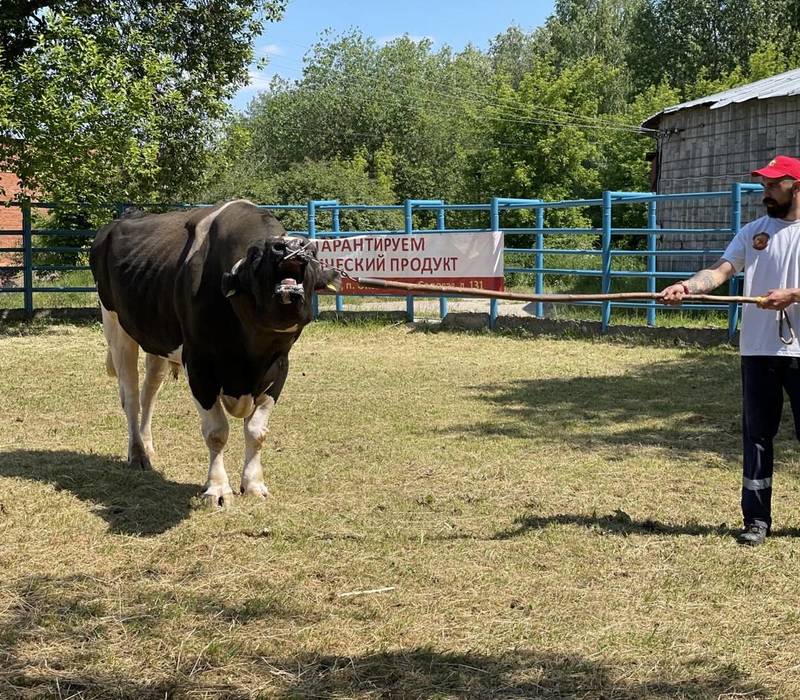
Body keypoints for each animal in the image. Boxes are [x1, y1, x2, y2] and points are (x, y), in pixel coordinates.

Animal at [90, 200, 340, 506]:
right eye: (255, 254)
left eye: (311, 251)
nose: (289, 246)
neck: (250, 355)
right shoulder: (199, 367)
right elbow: (216, 432)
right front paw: (218, 488)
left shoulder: (279, 366)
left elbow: (257, 431)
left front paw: (254, 484)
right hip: (116, 327)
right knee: (130, 396)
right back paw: (137, 454)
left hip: (156, 339)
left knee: (150, 392)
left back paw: (147, 447)